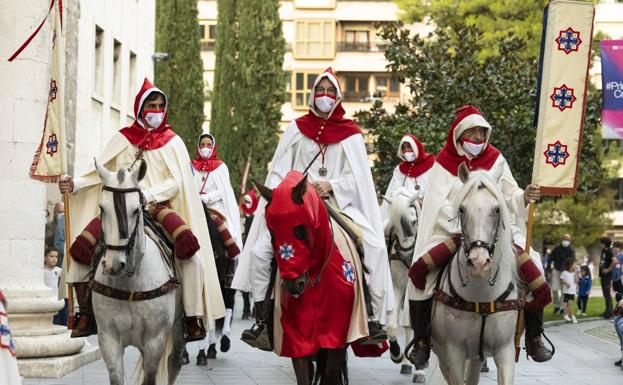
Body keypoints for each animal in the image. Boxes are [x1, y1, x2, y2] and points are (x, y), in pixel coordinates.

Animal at [432, 164, 520, 382]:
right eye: (462, 209)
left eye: (496, 209)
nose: (479, 263)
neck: (480, 297)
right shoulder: (453, 353)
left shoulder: (504, 350)